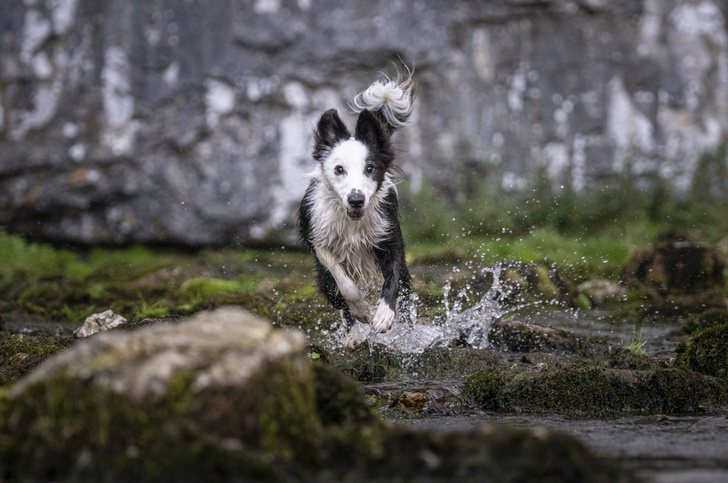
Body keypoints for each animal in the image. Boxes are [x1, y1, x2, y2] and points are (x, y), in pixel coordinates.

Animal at [298, 70, 416, 346]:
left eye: (370, 168)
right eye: (339, 169)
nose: (356, 200)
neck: (352, 221)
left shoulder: (389, 236)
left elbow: (393, 279)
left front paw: (383, 315)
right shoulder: (318, 239)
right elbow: (344, 283)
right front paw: (361, 310)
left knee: (405, 293)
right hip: (324, 280)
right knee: (338, 298)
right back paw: (354, 336)